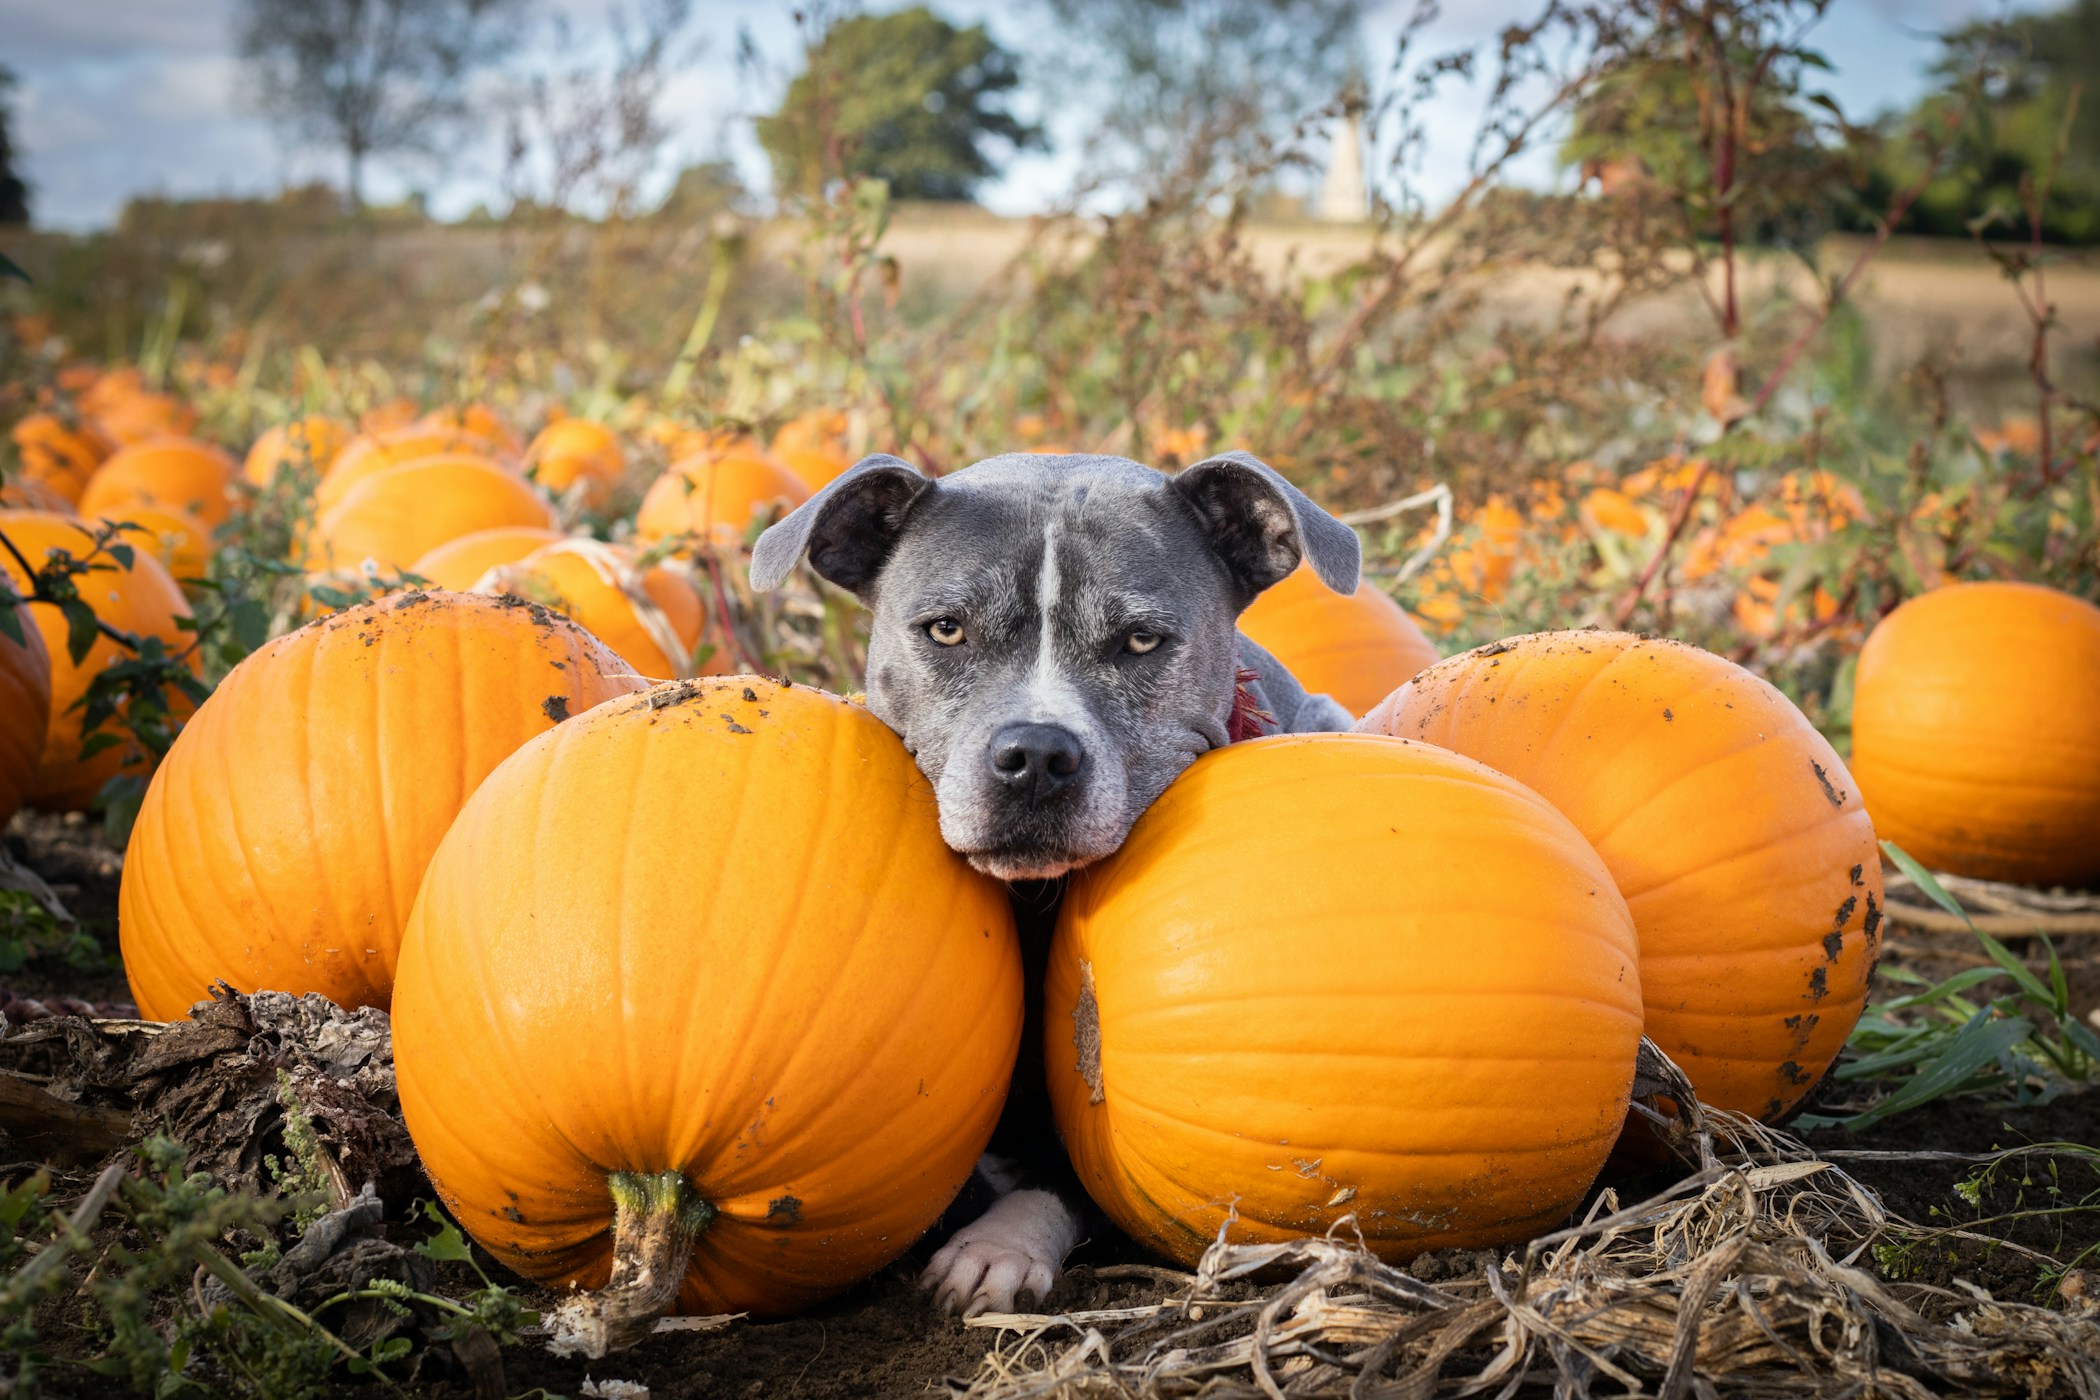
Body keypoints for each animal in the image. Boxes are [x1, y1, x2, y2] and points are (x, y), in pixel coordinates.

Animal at [755, 455, 1360, 1318]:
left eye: (1141, 640)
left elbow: (1077, 1170)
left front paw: (998, 1246)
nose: (1036, 756)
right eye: (946, 629)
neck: (1036, 900)